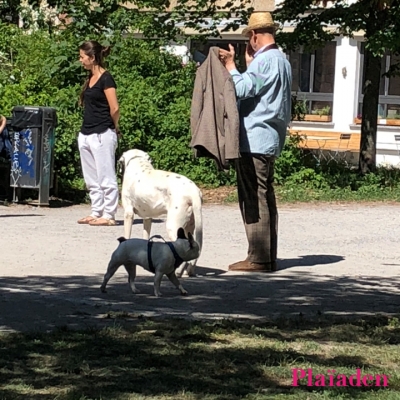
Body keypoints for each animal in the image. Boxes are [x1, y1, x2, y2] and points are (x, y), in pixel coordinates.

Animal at [116, 148, 203, 276]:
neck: (138, 162)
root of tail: (193, 190)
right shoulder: (147, 218)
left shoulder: (128, 214)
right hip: (190, 228)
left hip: (173, 227)